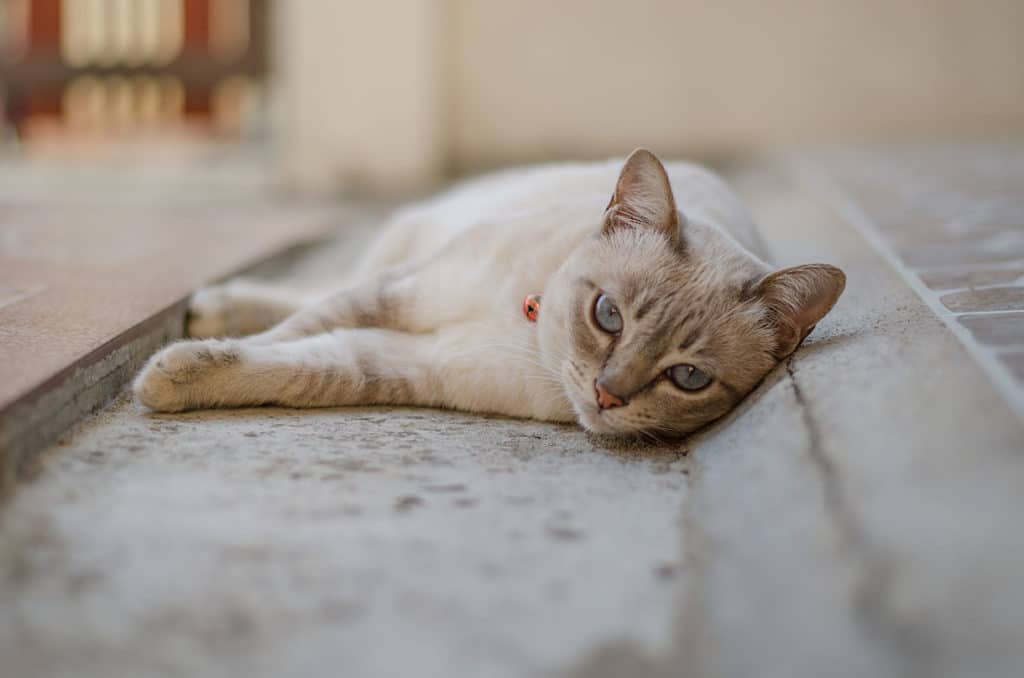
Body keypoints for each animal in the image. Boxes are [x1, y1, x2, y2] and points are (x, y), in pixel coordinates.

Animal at [134, 149, 847, 438]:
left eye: (689, 378)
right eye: (608, 316)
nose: (607, 395)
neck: (525, 333)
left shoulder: (402, 362)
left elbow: (299, 367)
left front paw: (168, 379)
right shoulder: (403, 293)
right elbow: (288, 334)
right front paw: (167, 373)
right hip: (405, 246)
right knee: (319, 286)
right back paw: (213, 305)